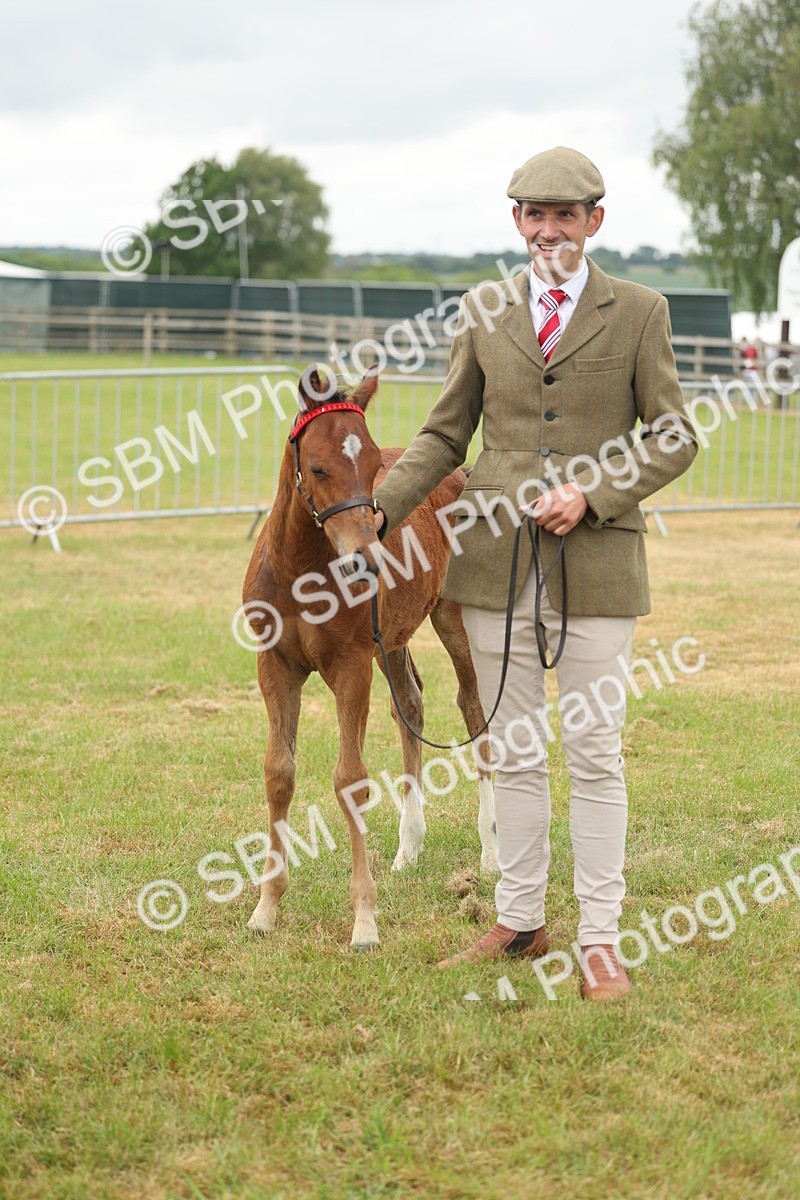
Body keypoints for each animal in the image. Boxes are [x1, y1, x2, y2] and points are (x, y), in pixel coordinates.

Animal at [241, 367, 497, 949]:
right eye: (317, 466)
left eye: (375, 460)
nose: (366, 558)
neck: (300, 571)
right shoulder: (275, 668)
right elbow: (279, 772)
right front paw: (266, 908)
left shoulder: (351, 667)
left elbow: (350, 780)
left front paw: (364, 920)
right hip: (392, 639)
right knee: (412, 705)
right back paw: (408, 849)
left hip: (454, 622)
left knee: (474, 711)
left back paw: (493, 853)